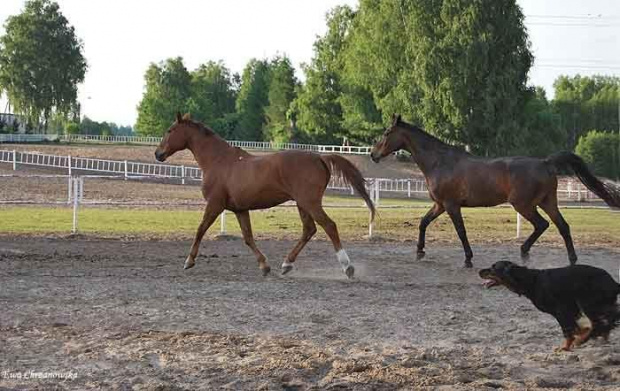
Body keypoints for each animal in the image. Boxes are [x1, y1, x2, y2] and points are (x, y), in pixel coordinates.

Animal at [156, 112, 372, 278]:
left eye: (170, 131)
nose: (158, 154)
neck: (218, 161)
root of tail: (319, 156)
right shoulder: (240, 209)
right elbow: (248, 237)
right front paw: (264, 266)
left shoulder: (215, 204)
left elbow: (200, 229)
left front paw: (189, 261)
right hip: (303, 204)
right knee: (309, 230)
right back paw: (286, 264)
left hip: (310, 203)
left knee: (329, 226)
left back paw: (347, 267)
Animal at [370, 115, 616, 268]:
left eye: (387, 132)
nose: (373, 154)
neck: (440, 162)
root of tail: (545, 162)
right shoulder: (439, 205)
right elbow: (423, 222)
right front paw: (420, 252)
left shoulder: (451, 205)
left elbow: (461, 232)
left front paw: (468, 259)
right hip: (548, 202)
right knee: (562, 226)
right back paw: (571, 259)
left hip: (524, 205)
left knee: (542, 225)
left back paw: (524, 252)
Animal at [480, 262, 620, 350]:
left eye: (493, 268)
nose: (479, 271)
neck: (531, 280)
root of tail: (614, 283)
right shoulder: (569, 310)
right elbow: (575, 328)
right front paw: (581, 334)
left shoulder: (561, 310)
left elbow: (568, 330)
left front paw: (565, 347)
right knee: (608, 319)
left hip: (588, 303)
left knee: (601, 321)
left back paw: (584, 339)